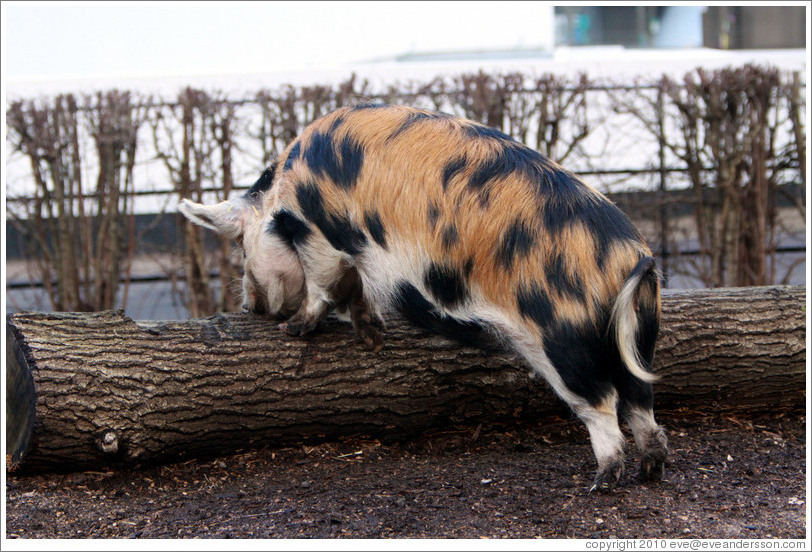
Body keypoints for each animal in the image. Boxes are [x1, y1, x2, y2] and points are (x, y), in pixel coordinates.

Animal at [180, 103, 668, 491]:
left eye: (240, 245)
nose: (252, 307)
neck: (284, 195)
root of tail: (632, 258)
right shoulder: (360, 260)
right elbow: (356, 291)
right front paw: (372, 339)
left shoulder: (319, 234)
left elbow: (320, 284)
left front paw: (294, 329)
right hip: (636, 340)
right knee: (641, 404)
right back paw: (651, 471)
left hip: (565, 342)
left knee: (604, 406)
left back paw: (601, 483)